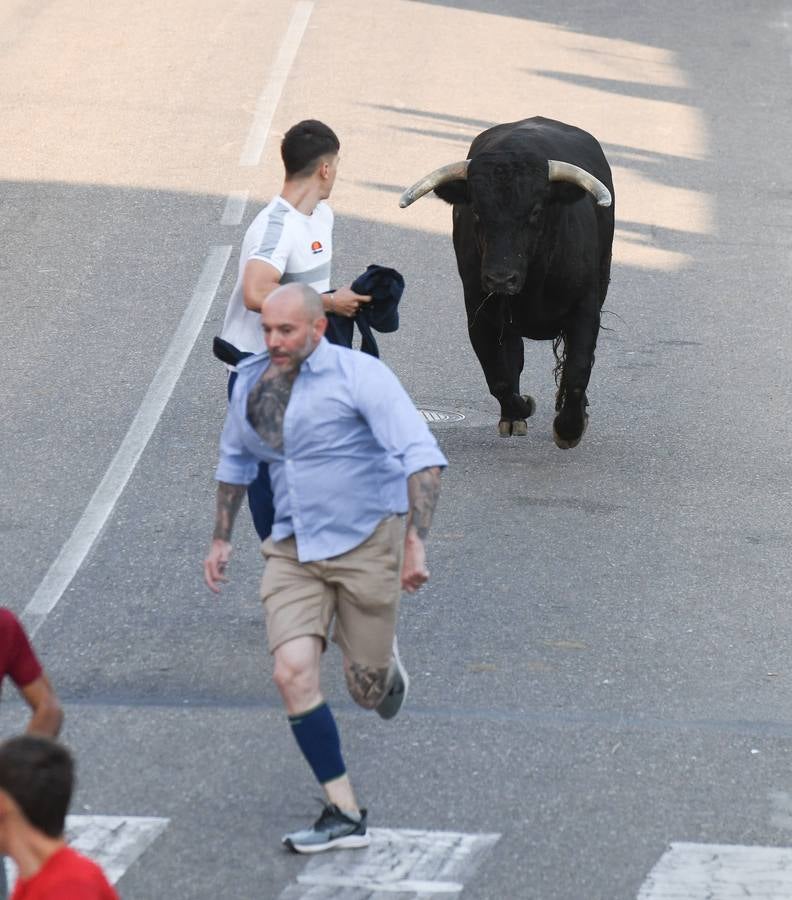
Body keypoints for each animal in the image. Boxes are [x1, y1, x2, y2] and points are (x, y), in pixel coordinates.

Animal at [400, 116, 616, 446]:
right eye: (477, 210)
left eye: (536, 210)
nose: (501, 278)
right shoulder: (479, 312)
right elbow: (499, 376)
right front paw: (521, 408)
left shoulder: (586, 308)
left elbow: (578, 369)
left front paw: (569, 428)